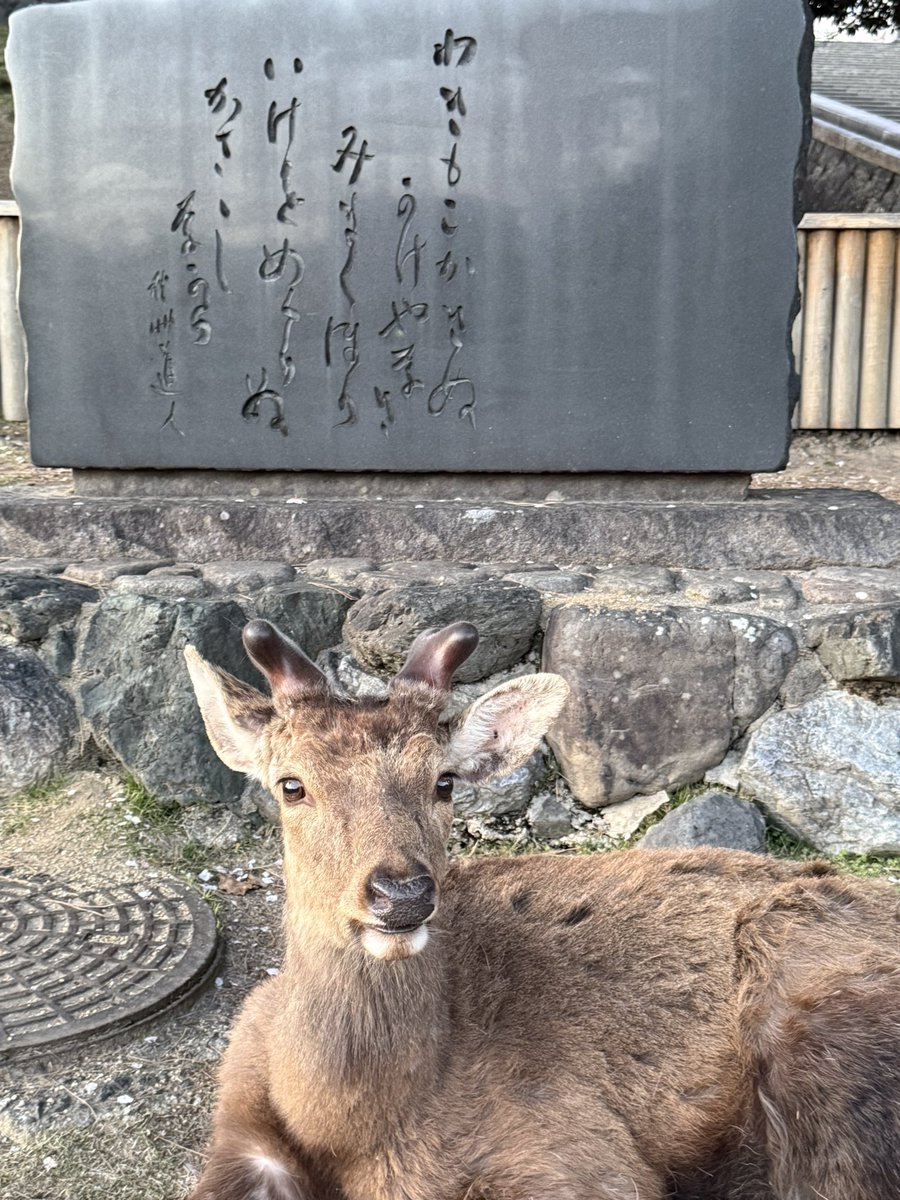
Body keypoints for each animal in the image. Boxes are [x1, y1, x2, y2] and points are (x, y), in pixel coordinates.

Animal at [184, 618, 900, 1200]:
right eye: (291, 784)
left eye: (444, 781)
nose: (402, 894)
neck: (347, 1126)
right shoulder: (238, 1122)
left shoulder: (578, 1154)